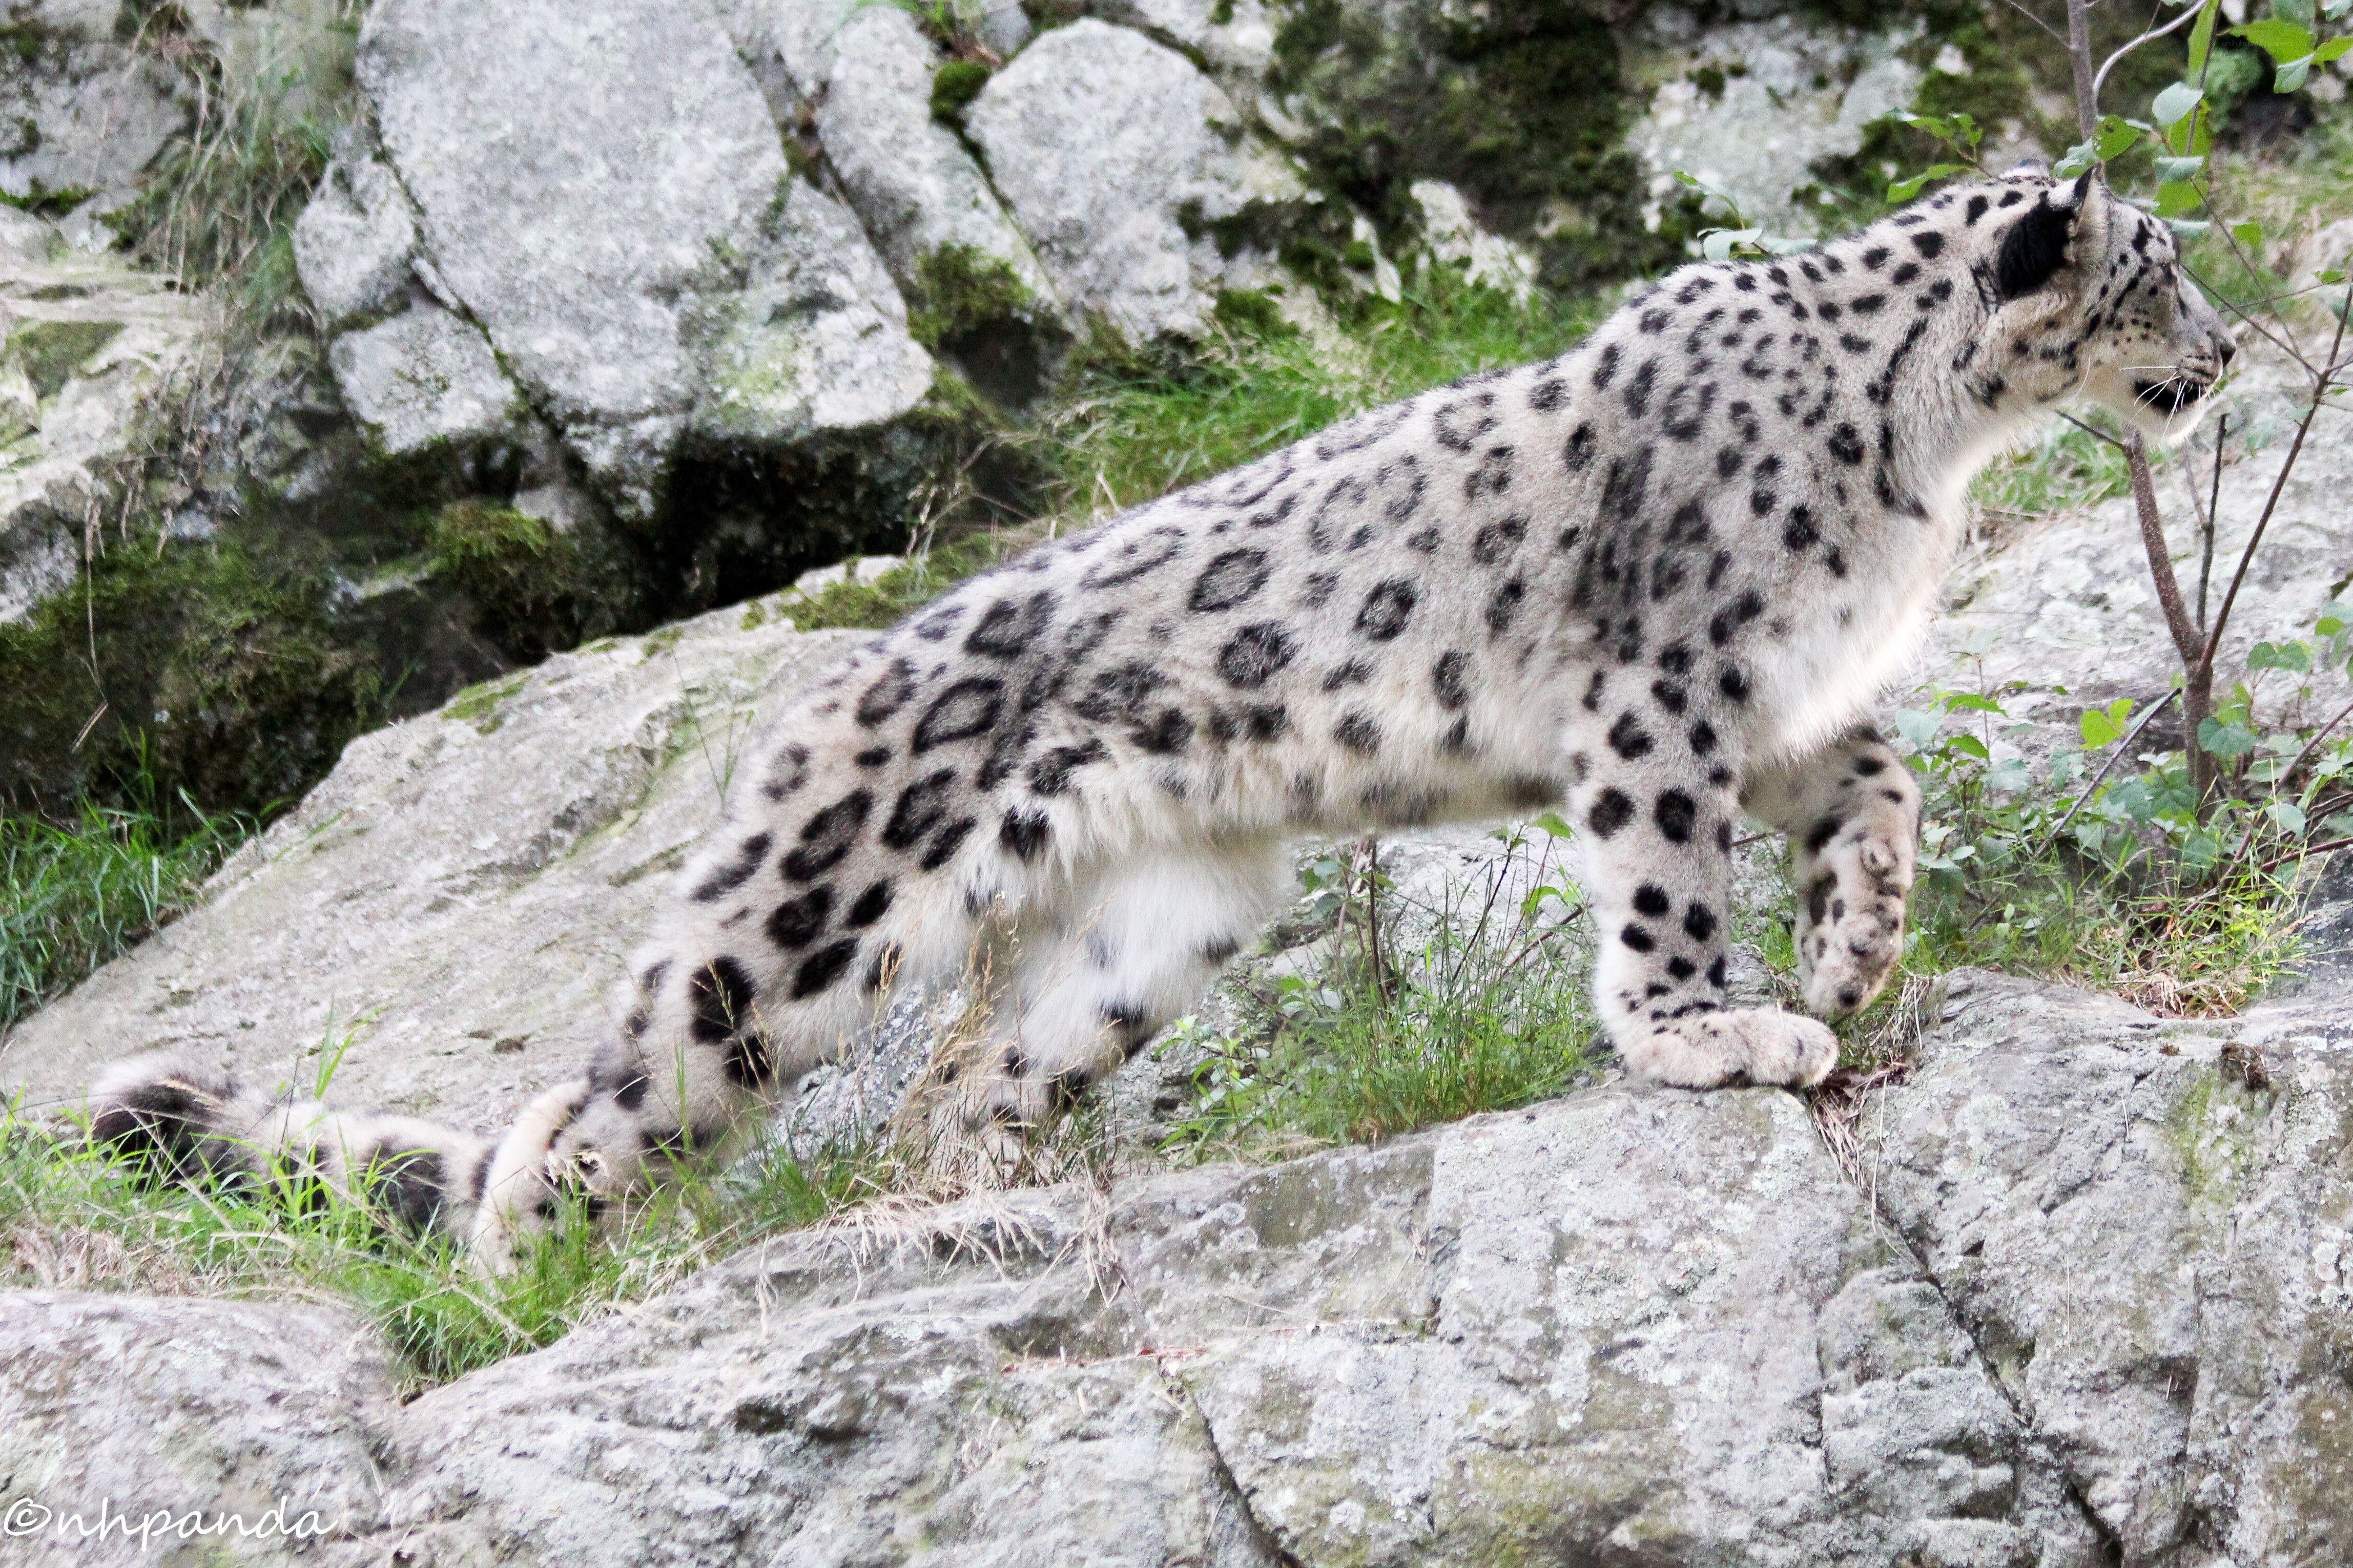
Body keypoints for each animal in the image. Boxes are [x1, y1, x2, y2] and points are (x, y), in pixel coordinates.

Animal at [91, 167, 2234, 1262]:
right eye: (2157, 270)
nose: (2222, 355)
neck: (1927, 460)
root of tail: (829, 676)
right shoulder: (1665, 690)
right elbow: (1663, 889)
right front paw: (1714, 1033)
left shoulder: (1779, 700)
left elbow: (1879, 790)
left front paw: (1856, 944)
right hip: (799, 932)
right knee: (597, 1095)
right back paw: (520, 1279)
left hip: (1158, 923)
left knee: (968, 1073)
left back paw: (997, 1195)